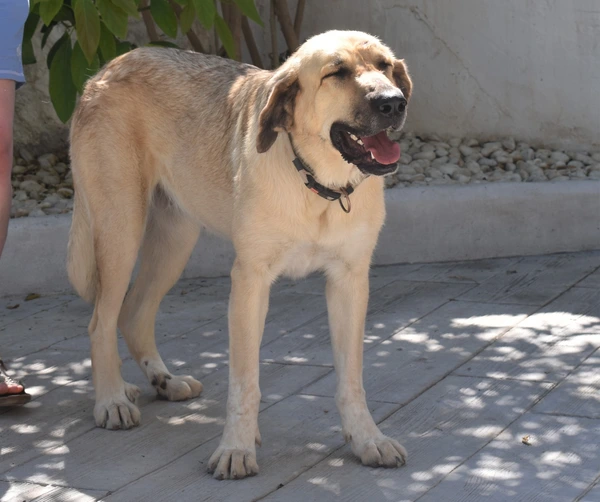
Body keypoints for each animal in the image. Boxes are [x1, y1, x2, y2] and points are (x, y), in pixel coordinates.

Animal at [67, 30, 412, 480]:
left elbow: (351, 379)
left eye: (385, 66)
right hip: (120, 230)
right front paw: (237, 448)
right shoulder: (250, 282)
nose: (394, 102)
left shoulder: (349, 281)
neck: (316, 185)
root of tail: (107, 68)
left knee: (134, 312)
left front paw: (367, 438)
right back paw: (110, 399)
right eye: (336, 73)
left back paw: (163, 380)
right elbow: (245, 382)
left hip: (175, 241)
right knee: (101, 321)